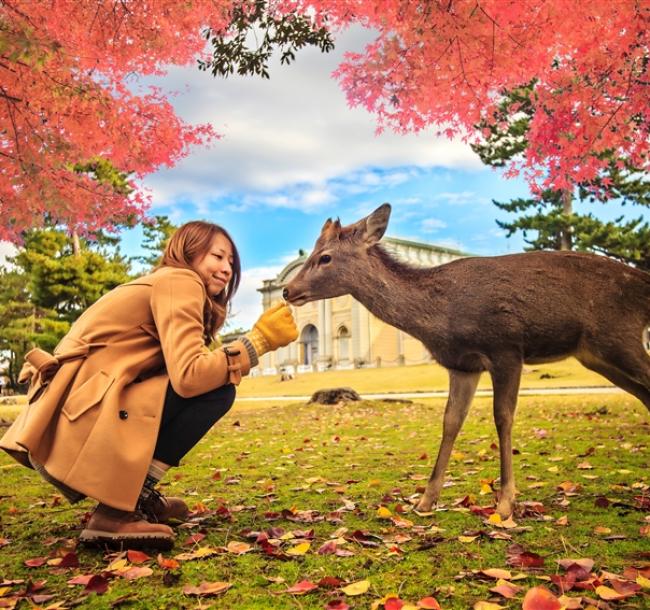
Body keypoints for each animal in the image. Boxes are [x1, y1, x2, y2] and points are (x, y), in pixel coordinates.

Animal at [284, 203, 648, 512]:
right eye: (313, 252)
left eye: (326, 257)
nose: (287, 290)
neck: (441, 316)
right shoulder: (462, 365)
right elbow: (450, 421)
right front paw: (425, 501)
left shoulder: (506, 348)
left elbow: (502, 417)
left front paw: (506, 501)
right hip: (598, 354)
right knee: (645, 394)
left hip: (620, 336)